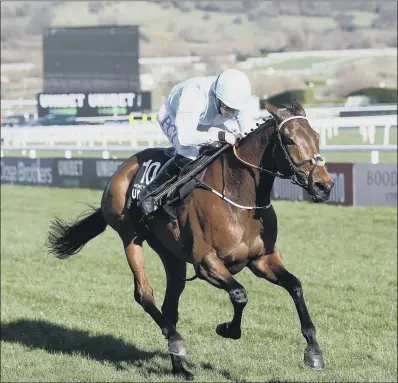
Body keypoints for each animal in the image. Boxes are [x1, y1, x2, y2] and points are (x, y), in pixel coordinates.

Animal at [45, 100, 332, 380]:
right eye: (289, 140)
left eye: (316, 136)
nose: (324, 186)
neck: (240, 197)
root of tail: (123, 168)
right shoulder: (207, 264)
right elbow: (240, 294)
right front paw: (227, 328)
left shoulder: (262, 259)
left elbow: (295, 286)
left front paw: (313, 352)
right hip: (130, 236)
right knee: (143, 294)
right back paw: (177, 341)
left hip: (170, 254)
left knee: (170, 305)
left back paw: (179, 367)